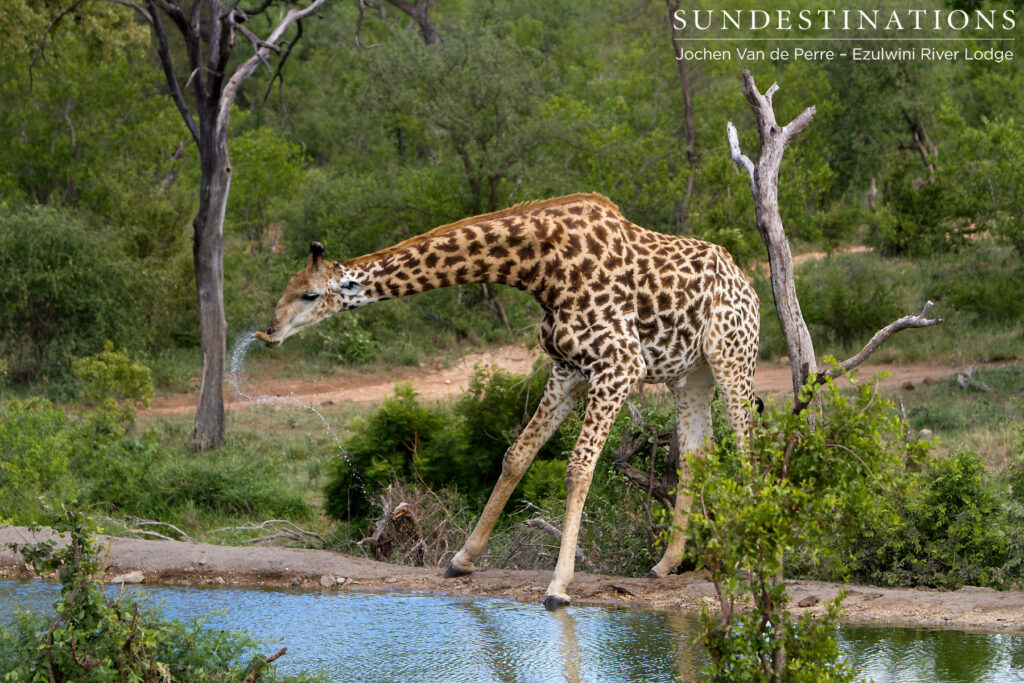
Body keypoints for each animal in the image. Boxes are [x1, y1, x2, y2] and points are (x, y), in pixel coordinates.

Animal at [256, 193, 759, 608]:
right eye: (285, 288)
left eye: (309, 294)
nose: (269, 332)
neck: (542, 270)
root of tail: (748, 284)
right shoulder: (567, 369)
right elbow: (517, 454)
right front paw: (462, 559)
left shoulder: (619, 365)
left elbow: (579, 468)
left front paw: (558, 586)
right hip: (691, 376)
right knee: (697, 455)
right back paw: (665, 564)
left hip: (732, 358)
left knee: (746, 448)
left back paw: (750, 559)